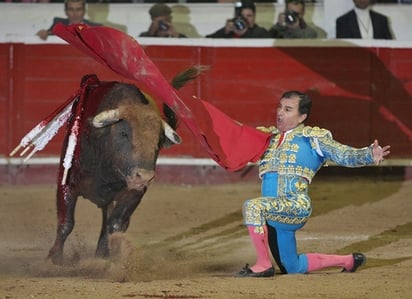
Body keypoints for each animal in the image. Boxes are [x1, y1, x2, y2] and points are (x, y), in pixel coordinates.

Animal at [45, 71, 197, 268]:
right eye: (124, 133)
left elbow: (115, 225)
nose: (145, 176)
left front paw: (108, 259)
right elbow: (66, 223)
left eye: (158, 141)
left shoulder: (135, 190)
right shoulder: (66, 182)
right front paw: (54, 259)